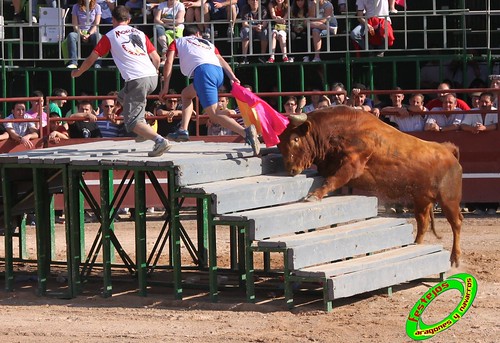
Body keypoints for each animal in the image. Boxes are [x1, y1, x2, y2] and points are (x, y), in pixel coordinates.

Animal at [278, 106, 460, 268]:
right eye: (280, 144)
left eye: (295, 139)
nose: (290, 169)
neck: (337, 131)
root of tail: (448, 150)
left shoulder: (352, 165)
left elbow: (332, 180)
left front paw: (314, 195)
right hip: (421, 199)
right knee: (423, 222)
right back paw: (417, 245)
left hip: (448, 200)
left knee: (456, 223)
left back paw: (455, 258)